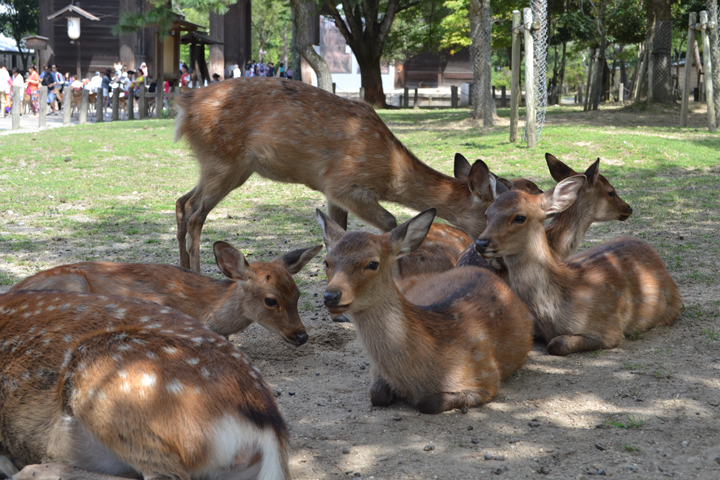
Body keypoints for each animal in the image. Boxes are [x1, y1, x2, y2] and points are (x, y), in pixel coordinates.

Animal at [172, 79, 504, 274]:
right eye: (487, 214)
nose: (498, 258)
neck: (391, 173)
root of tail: (183, 105)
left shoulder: (332, 193)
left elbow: (338, 232)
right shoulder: (345, 185)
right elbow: (390, 224)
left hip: (222, 166)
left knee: (181, 202)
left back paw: (183, 270)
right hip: (223, 161)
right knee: (195, 212)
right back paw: (197, 273)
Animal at [318, 206, 532, 412]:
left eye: (372, 263)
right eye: (326, 261)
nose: (331, 296)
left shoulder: (487, 379)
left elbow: (428, 402)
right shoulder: (378, 371)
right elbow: (377, 395)